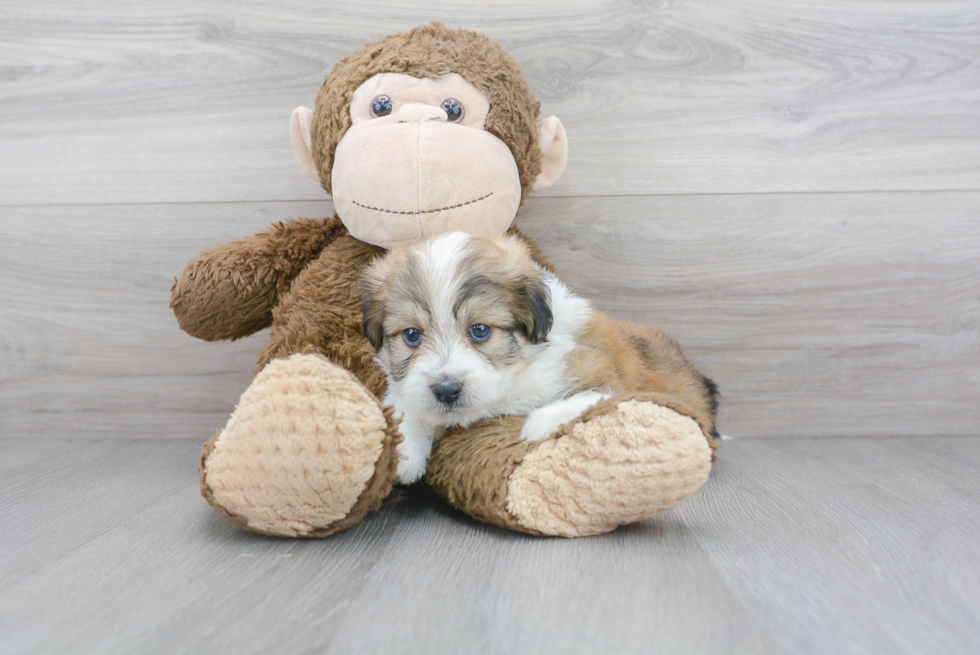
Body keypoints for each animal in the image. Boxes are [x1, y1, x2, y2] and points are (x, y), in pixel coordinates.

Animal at [364, 231, 716, 482]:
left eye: (480, 330)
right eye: (412, 335)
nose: (447, 390)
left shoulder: (601, 376)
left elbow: (588, 400)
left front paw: (538, 424)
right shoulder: (408, 387)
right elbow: (407, 404)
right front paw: (404, 453)